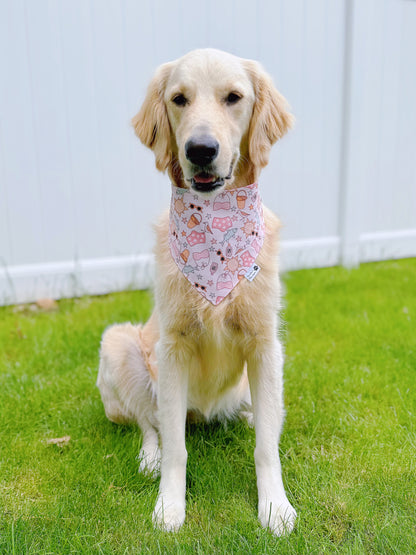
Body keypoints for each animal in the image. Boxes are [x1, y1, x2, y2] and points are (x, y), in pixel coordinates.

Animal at [97, 50, 296, 536]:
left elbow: (266, 446)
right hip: (118, 345)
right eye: (179, 99)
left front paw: (274, 506)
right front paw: (170, 506)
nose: (200, 150)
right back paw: (148, 458)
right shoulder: (173, 348)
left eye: (234, 97)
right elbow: (175, 447)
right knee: (149, 424)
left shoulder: (265, 345)